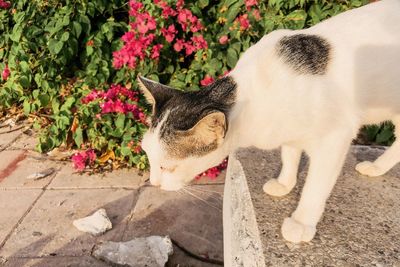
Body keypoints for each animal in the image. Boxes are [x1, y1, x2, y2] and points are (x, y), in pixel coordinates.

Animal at [138, 0, 400, 244]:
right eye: (149, 157)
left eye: (168, 167)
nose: (154, 183)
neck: (254, 94)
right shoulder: (290, 131)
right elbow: (290, 153)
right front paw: (285, 183)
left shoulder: (336, 136)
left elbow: (315, 186)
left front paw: (301, 222)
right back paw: (377, 167)